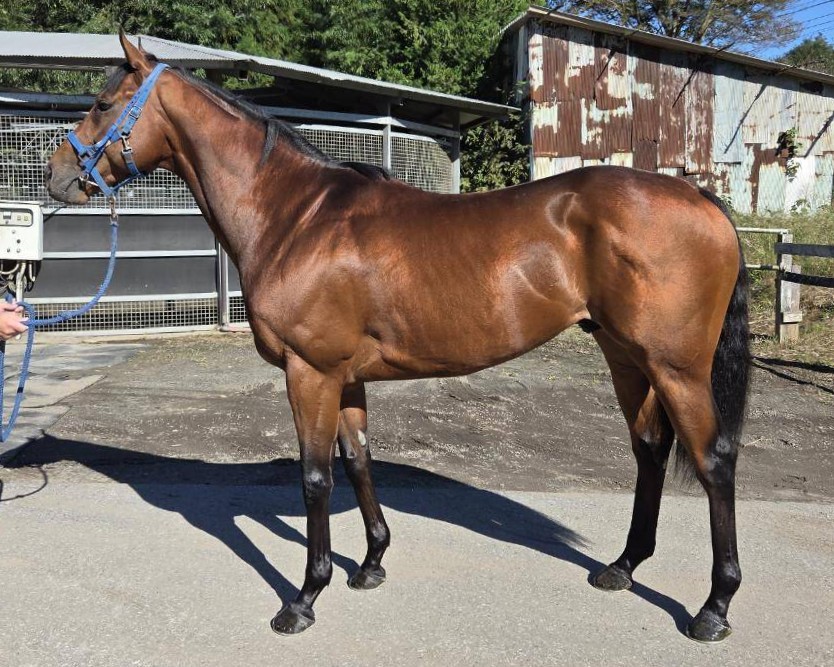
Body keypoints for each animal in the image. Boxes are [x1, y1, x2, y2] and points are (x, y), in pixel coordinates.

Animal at [46, 32, 750, 643]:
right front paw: (371, 564)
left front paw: (304, 598)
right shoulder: (346, 377)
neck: (295, 217)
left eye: (103, 104)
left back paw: (714, 607)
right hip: (624, 356)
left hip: (676, 367)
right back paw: (623, 568)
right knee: (649, 449)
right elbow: (359, 461)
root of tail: (700, 198)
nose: (56, 175)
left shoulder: (309, 372)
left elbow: (315, 478)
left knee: (713, 460)